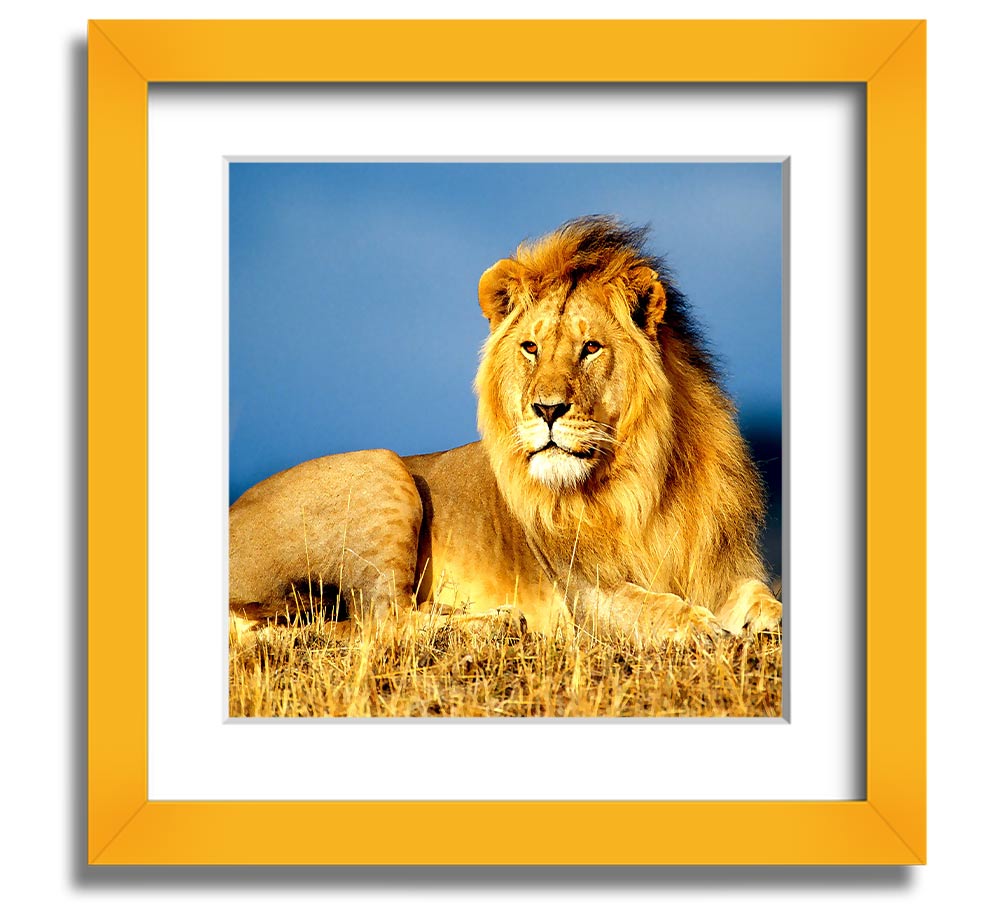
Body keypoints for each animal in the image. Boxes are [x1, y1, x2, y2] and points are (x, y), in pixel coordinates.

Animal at [229, 216, 781, 644]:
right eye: (531, 348)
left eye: (591, 347)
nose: (547, 409)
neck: (644, 480)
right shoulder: (586, 594)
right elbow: (654, 607)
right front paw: (703, 628)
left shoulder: (724, 568)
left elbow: (764, 598)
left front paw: (757, 622)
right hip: (379, 467)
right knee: (381, 622)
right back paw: (497, 622)